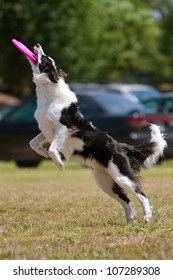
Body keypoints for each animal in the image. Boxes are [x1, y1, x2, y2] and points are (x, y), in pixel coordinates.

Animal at [29, 43, 167, 223]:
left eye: (45, 58)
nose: (37, 45)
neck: (48, 90)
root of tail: (122, 146)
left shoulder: (64, 127)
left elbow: (53, 149)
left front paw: (59, 164)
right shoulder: (45, 130)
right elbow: (33, 143)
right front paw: (43, 152)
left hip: (121, 176)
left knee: (141, 194)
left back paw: (147, 216)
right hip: (106, 183)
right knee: (126, 200)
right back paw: (129, 222)